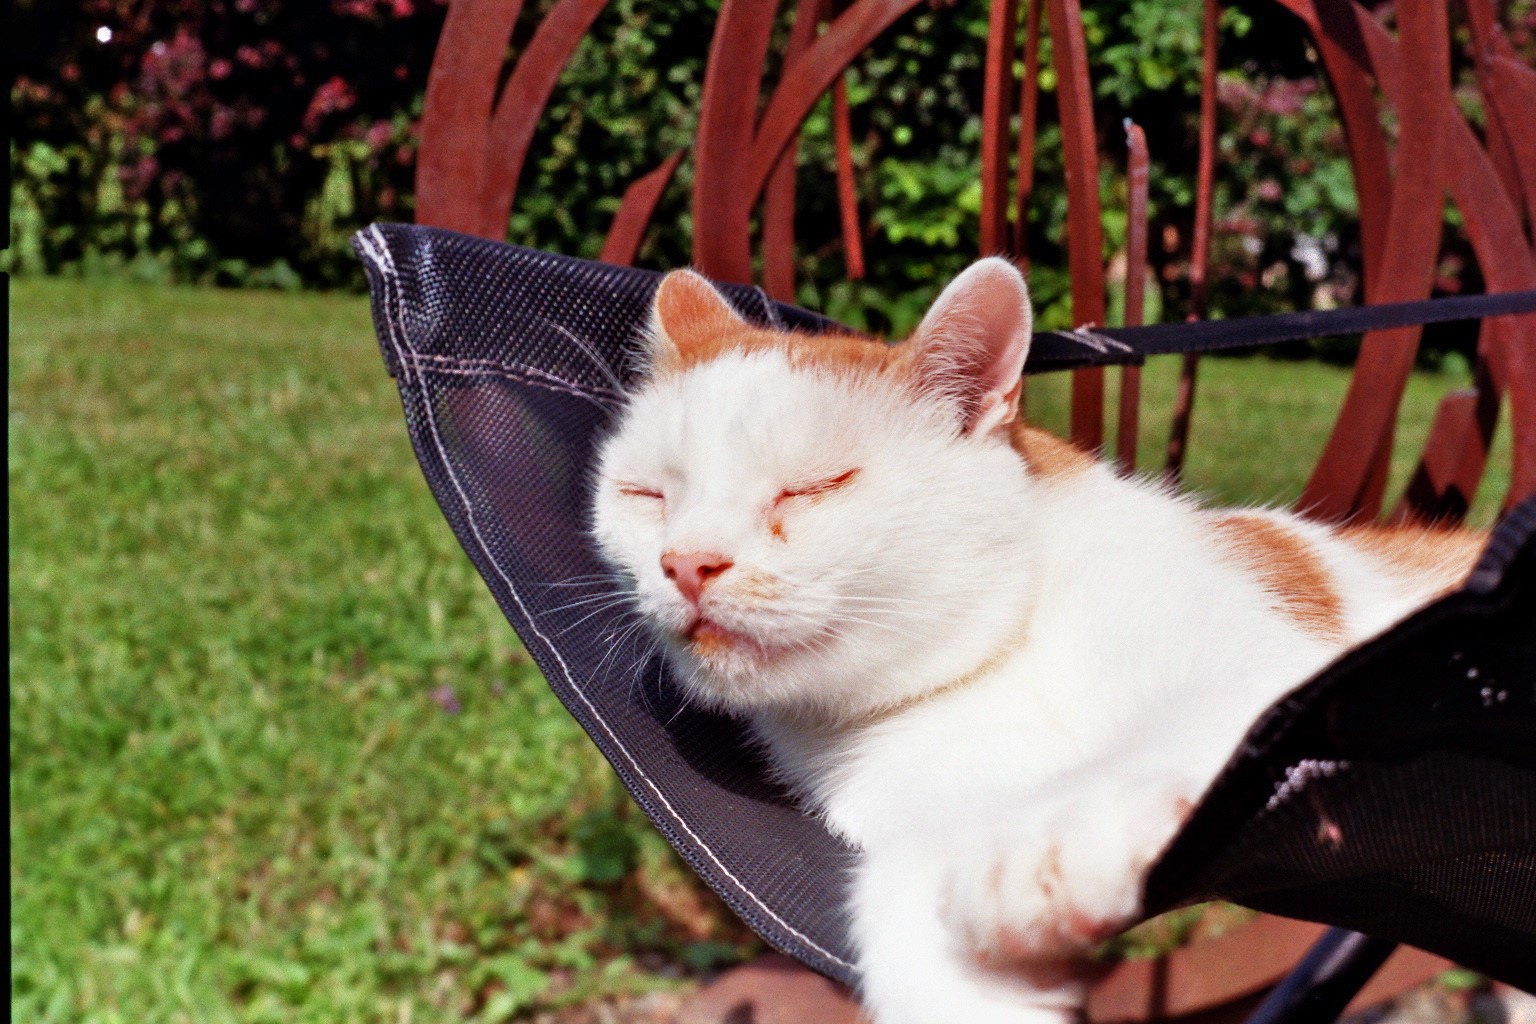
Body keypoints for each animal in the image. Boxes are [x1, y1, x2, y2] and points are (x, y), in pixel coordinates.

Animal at [583, 257, 1474, 1024]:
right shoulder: (933, 800)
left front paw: (1050, 849)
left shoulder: (1285, 675)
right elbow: (901, 881)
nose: (686, 562)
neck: (1006, 648)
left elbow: (1175, 741)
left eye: (811, 488)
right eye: (647, 494)